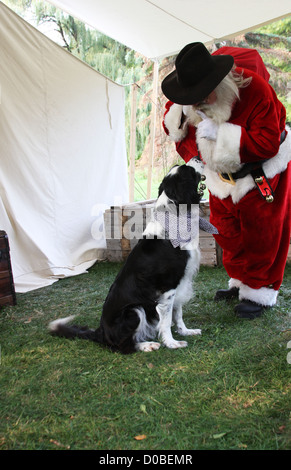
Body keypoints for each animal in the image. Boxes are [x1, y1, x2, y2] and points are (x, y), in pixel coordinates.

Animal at [49, 164, 211, 352]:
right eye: (190, 171)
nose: (198, 158)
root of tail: (101, 331)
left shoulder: (180, 283)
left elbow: (178, 313)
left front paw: (185, 331)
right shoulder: (167, 287)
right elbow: (166, 319)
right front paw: (172, 343)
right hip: (134, 310)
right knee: (122, 346)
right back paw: (147, 345)